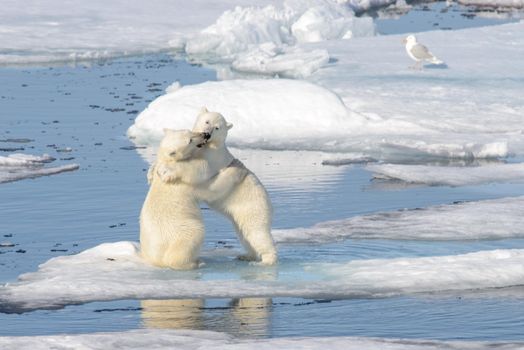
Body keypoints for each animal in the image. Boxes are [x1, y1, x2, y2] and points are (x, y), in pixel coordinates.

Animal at [139, 130, 246, 270]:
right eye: (189, 140)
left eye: (189, 131)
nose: (204, 134)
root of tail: (157, 261)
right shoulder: (185, 184)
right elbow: (211, 188)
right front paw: (237, 167)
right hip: (183, 231)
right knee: (193, 236)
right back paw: (196, 262)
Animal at [157, 108, 276, 264]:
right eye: (207, 121)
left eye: (217, 127)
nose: (207, 134)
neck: (208, 146)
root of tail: (269, 202)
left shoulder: (213, 157)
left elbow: (198, 168)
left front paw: (166, 171)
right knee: (245, 234)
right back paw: (246, 255)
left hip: (252, 207)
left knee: (256, 232)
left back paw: (267, 259)